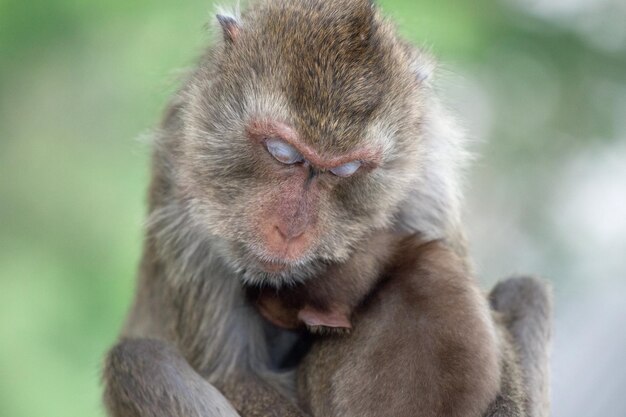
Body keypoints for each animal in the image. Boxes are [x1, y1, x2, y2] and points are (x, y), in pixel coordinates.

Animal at [102, 0, 552, 416]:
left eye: (347, 168)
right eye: (282, 152)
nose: (291, 230)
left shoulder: (426, 183)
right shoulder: (184, 193)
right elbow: (234, 374)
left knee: (527, 290)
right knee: (141, 359)